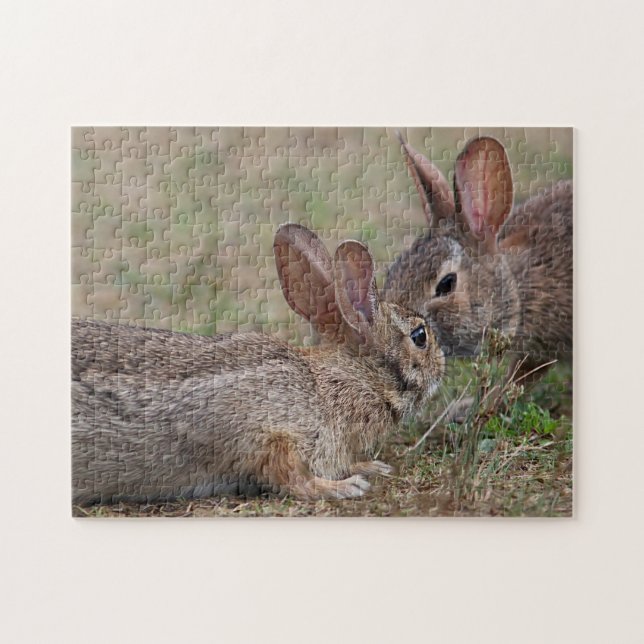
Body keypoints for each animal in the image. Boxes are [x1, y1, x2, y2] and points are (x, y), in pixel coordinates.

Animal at [72, 223, 444, 506]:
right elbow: (292, 476)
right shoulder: (272, 434)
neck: (335, 382)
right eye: (420, 336)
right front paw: (344, 487)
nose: (443, 365)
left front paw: (371, 467)